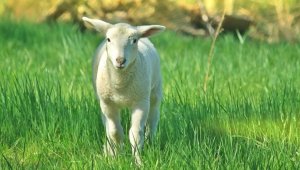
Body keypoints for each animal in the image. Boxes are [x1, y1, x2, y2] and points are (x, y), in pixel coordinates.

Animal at [82, 16, 165, 164]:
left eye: (134, 40)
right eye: (108, 39)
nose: (120, 60)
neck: (120, 85)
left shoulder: (140, 102)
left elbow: (135, 134)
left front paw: (138, 161)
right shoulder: (108, 103)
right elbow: (115, 132)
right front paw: (115, 157)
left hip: (155, 91)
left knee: (153, 119)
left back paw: (151, 142)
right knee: (107, 126)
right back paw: (108, 150)